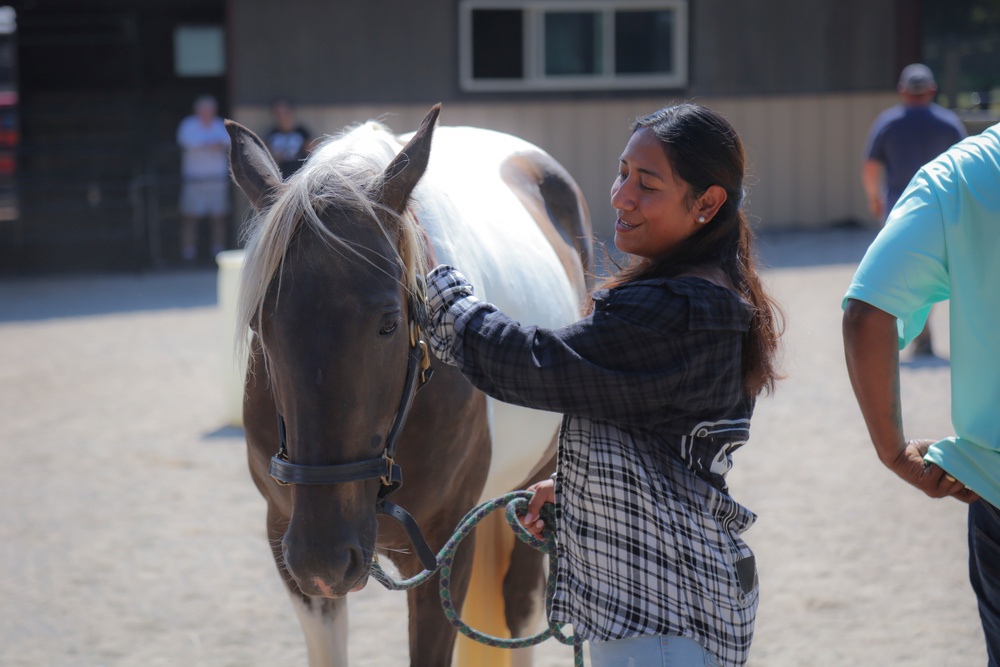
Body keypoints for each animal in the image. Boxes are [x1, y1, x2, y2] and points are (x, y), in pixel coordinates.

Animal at [230, 105, 592, 667]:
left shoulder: (445, 549)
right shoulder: (284, 541)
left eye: (388, 324)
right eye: (259, 326)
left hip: (535, 490)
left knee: (522, 607)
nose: (322, 555)